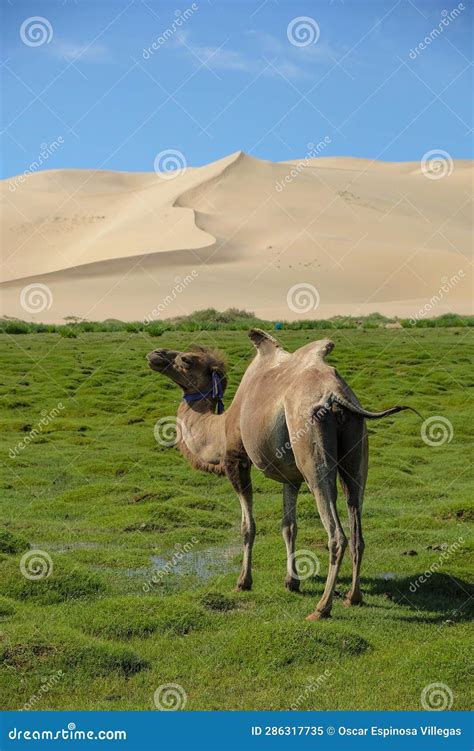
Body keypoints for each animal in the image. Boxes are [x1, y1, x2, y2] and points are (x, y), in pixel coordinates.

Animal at [146, 332, 416, 620]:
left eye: (186, 360)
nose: (156, 354)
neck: (220, 427)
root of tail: (337, 395)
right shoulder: (291, 478)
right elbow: (289, 526)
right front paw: (291, 581)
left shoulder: (236, 460)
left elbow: (247, 526)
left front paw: (243, 581)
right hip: (356, 450)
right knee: (356, 523)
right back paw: (352, 597)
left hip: (311, 449)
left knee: (336, 534)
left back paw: (322, 608)